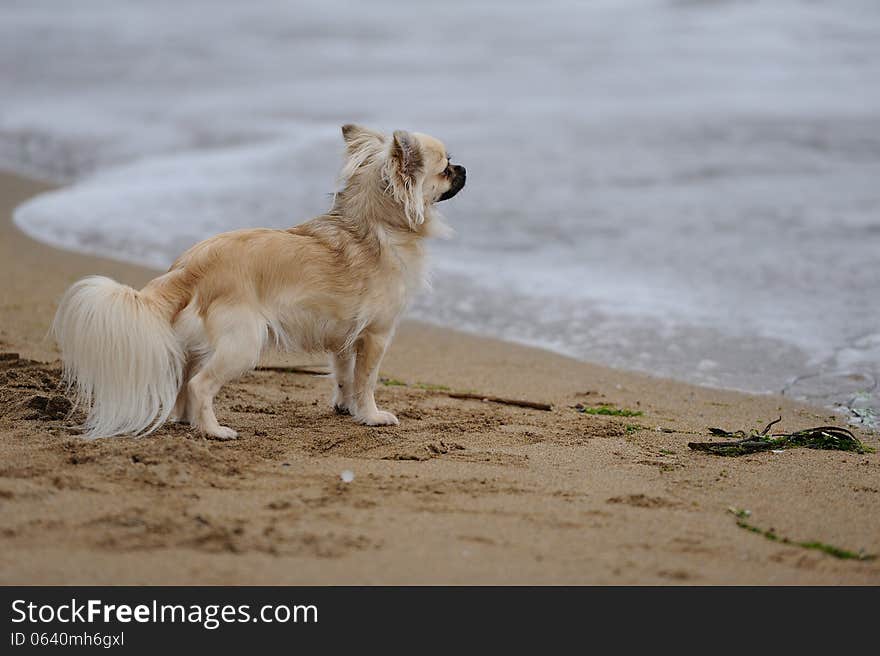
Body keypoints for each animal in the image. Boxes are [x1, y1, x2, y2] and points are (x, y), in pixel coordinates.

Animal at [53, 125, 468, 438]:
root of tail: (188, 266)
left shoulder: (343, 337)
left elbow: (343, 376)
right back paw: (214, 431)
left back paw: (189, 421)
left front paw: (345, 407)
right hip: (244, 344)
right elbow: (366, 381)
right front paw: (371, 415)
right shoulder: (376, 335)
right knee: (200, 384)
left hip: (199, 344)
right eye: (445, 169)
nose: (465, 168)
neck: (372, 226)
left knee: (185, 382)